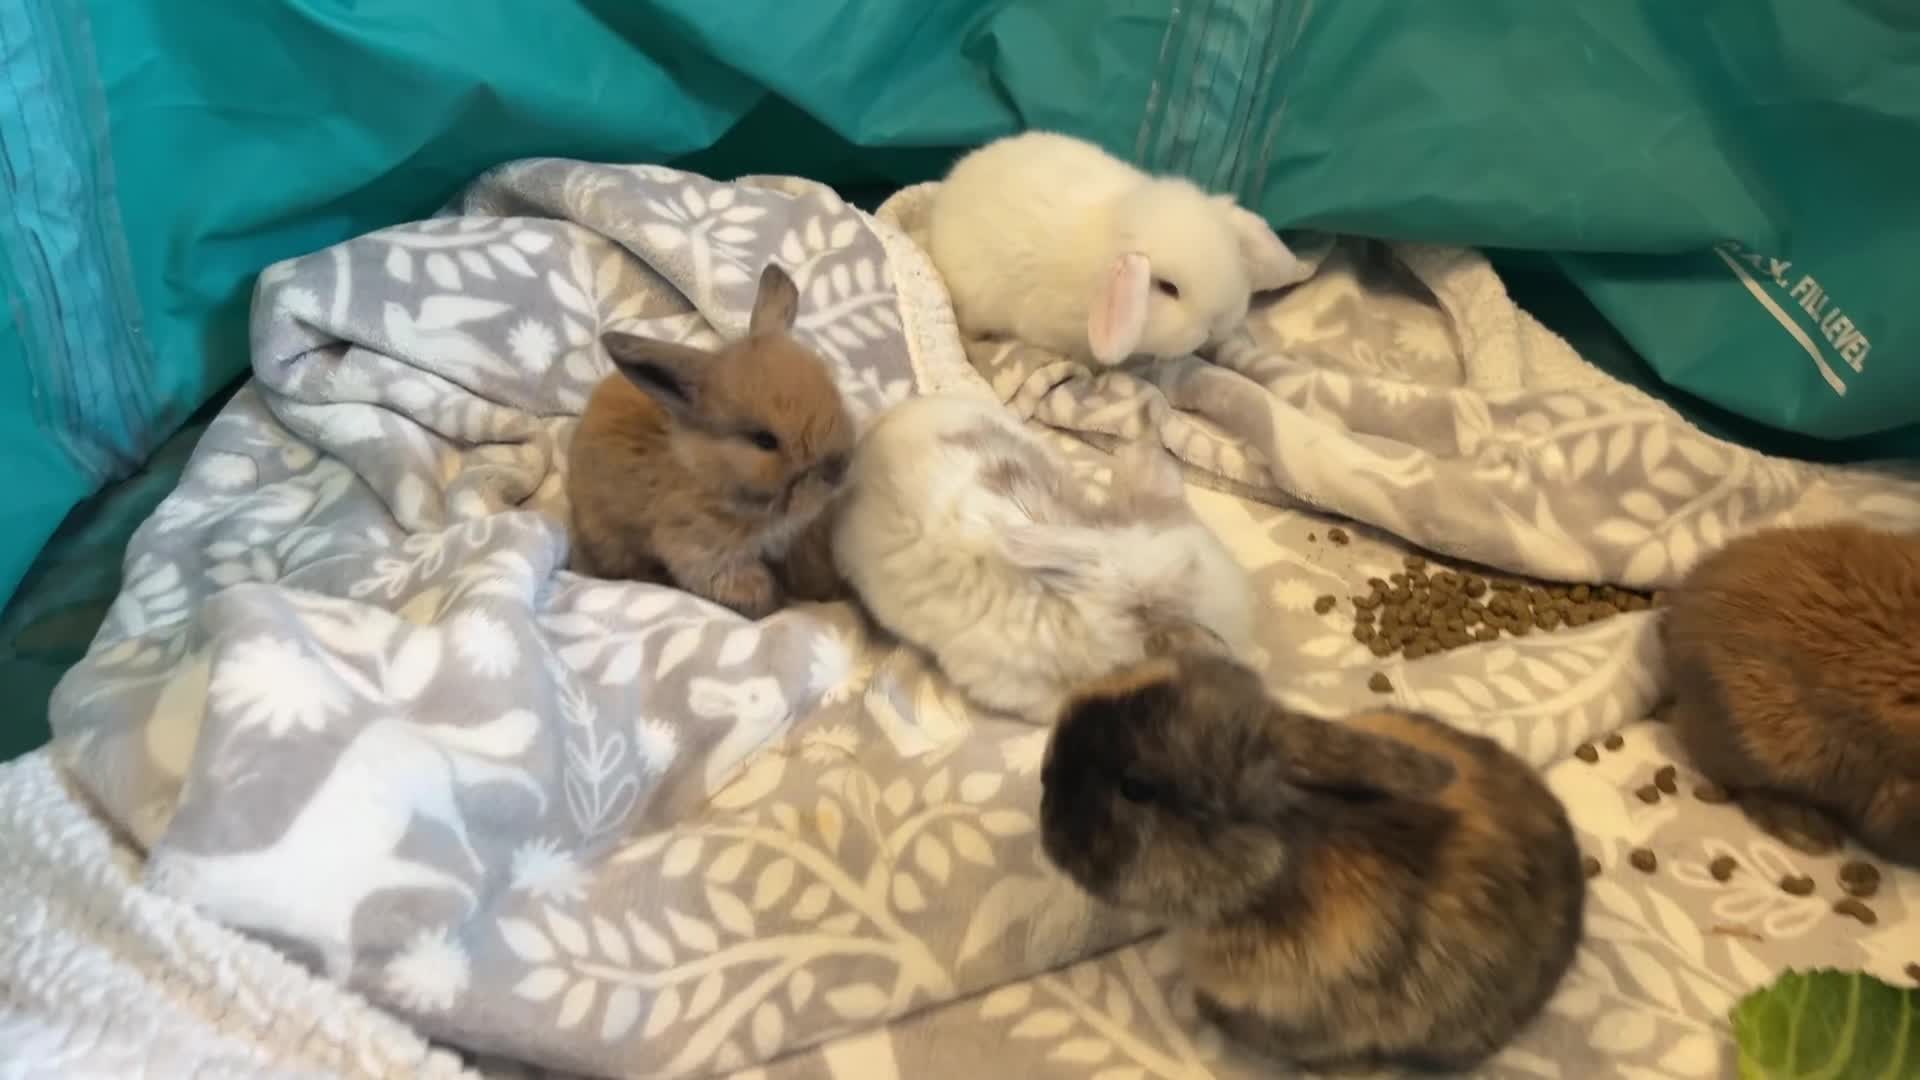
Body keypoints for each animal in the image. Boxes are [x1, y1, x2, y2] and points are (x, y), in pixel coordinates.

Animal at [567, 262, 855, 619]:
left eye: (833, 391)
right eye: (763, 440)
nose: (838, 470)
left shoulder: (799, 538)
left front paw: (825, 592)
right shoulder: (705, 554)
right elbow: (752, 588)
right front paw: (776, 606)